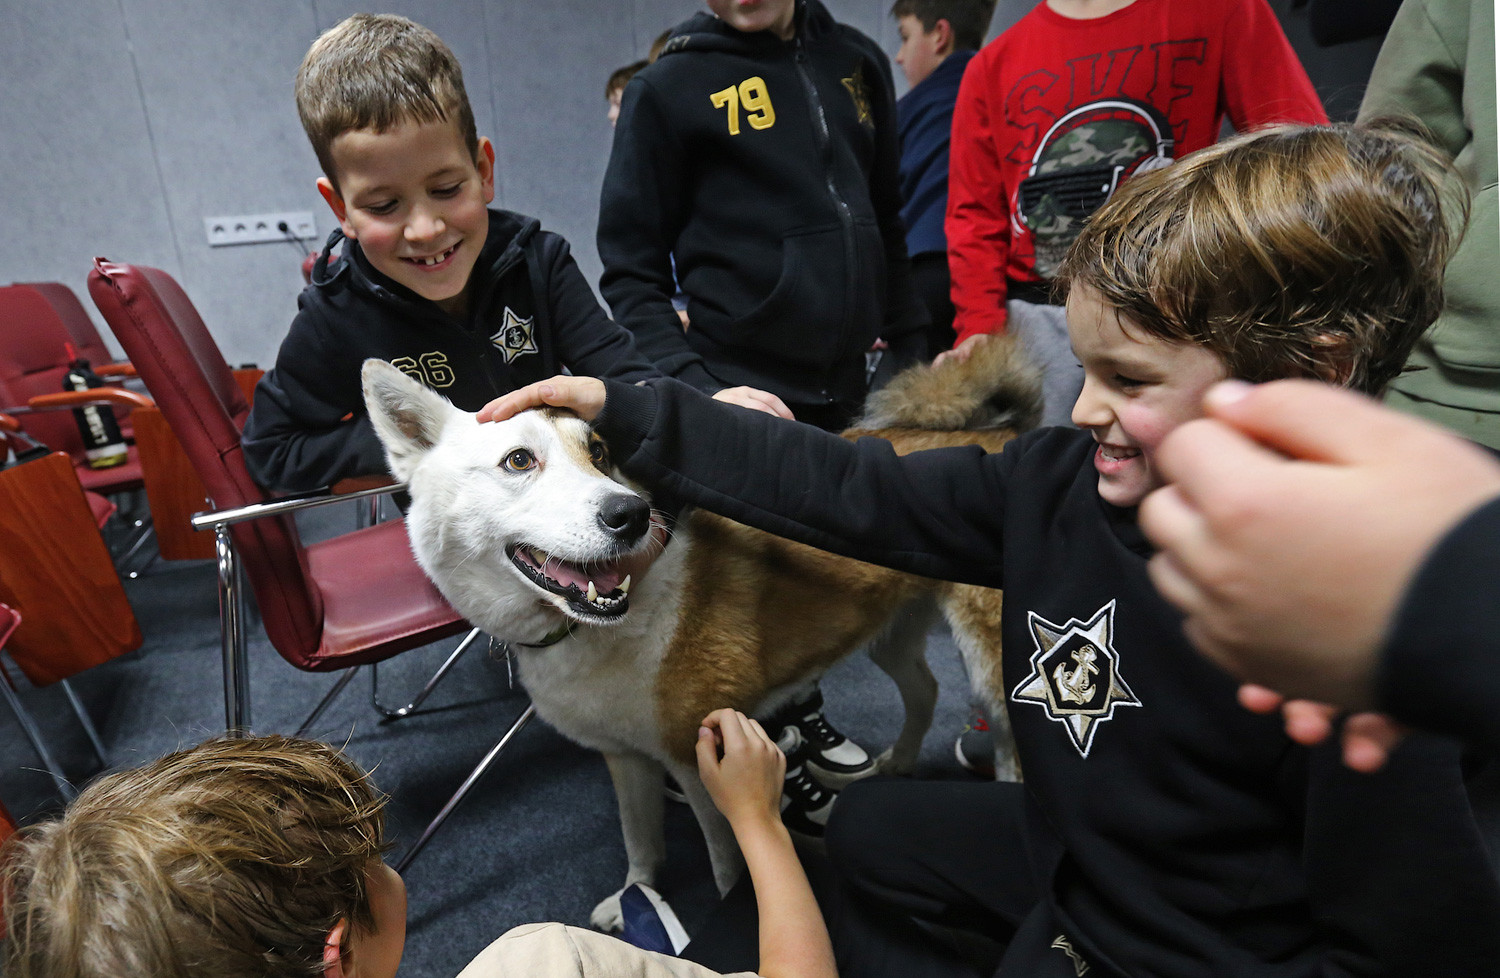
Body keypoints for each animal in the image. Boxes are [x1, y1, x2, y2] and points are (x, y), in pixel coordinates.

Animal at [364, 343, 1044, 930]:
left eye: (600, 451)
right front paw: (636, 898)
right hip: (889, 631)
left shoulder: (698, 766)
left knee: (1006, 732)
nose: (630, 515)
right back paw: (895, 765)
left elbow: (726, 868)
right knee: (925, 689)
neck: (602, 627)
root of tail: (1000, 436)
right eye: (519, 460)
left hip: (989, 658)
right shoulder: (628, 758)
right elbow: (640, 841)